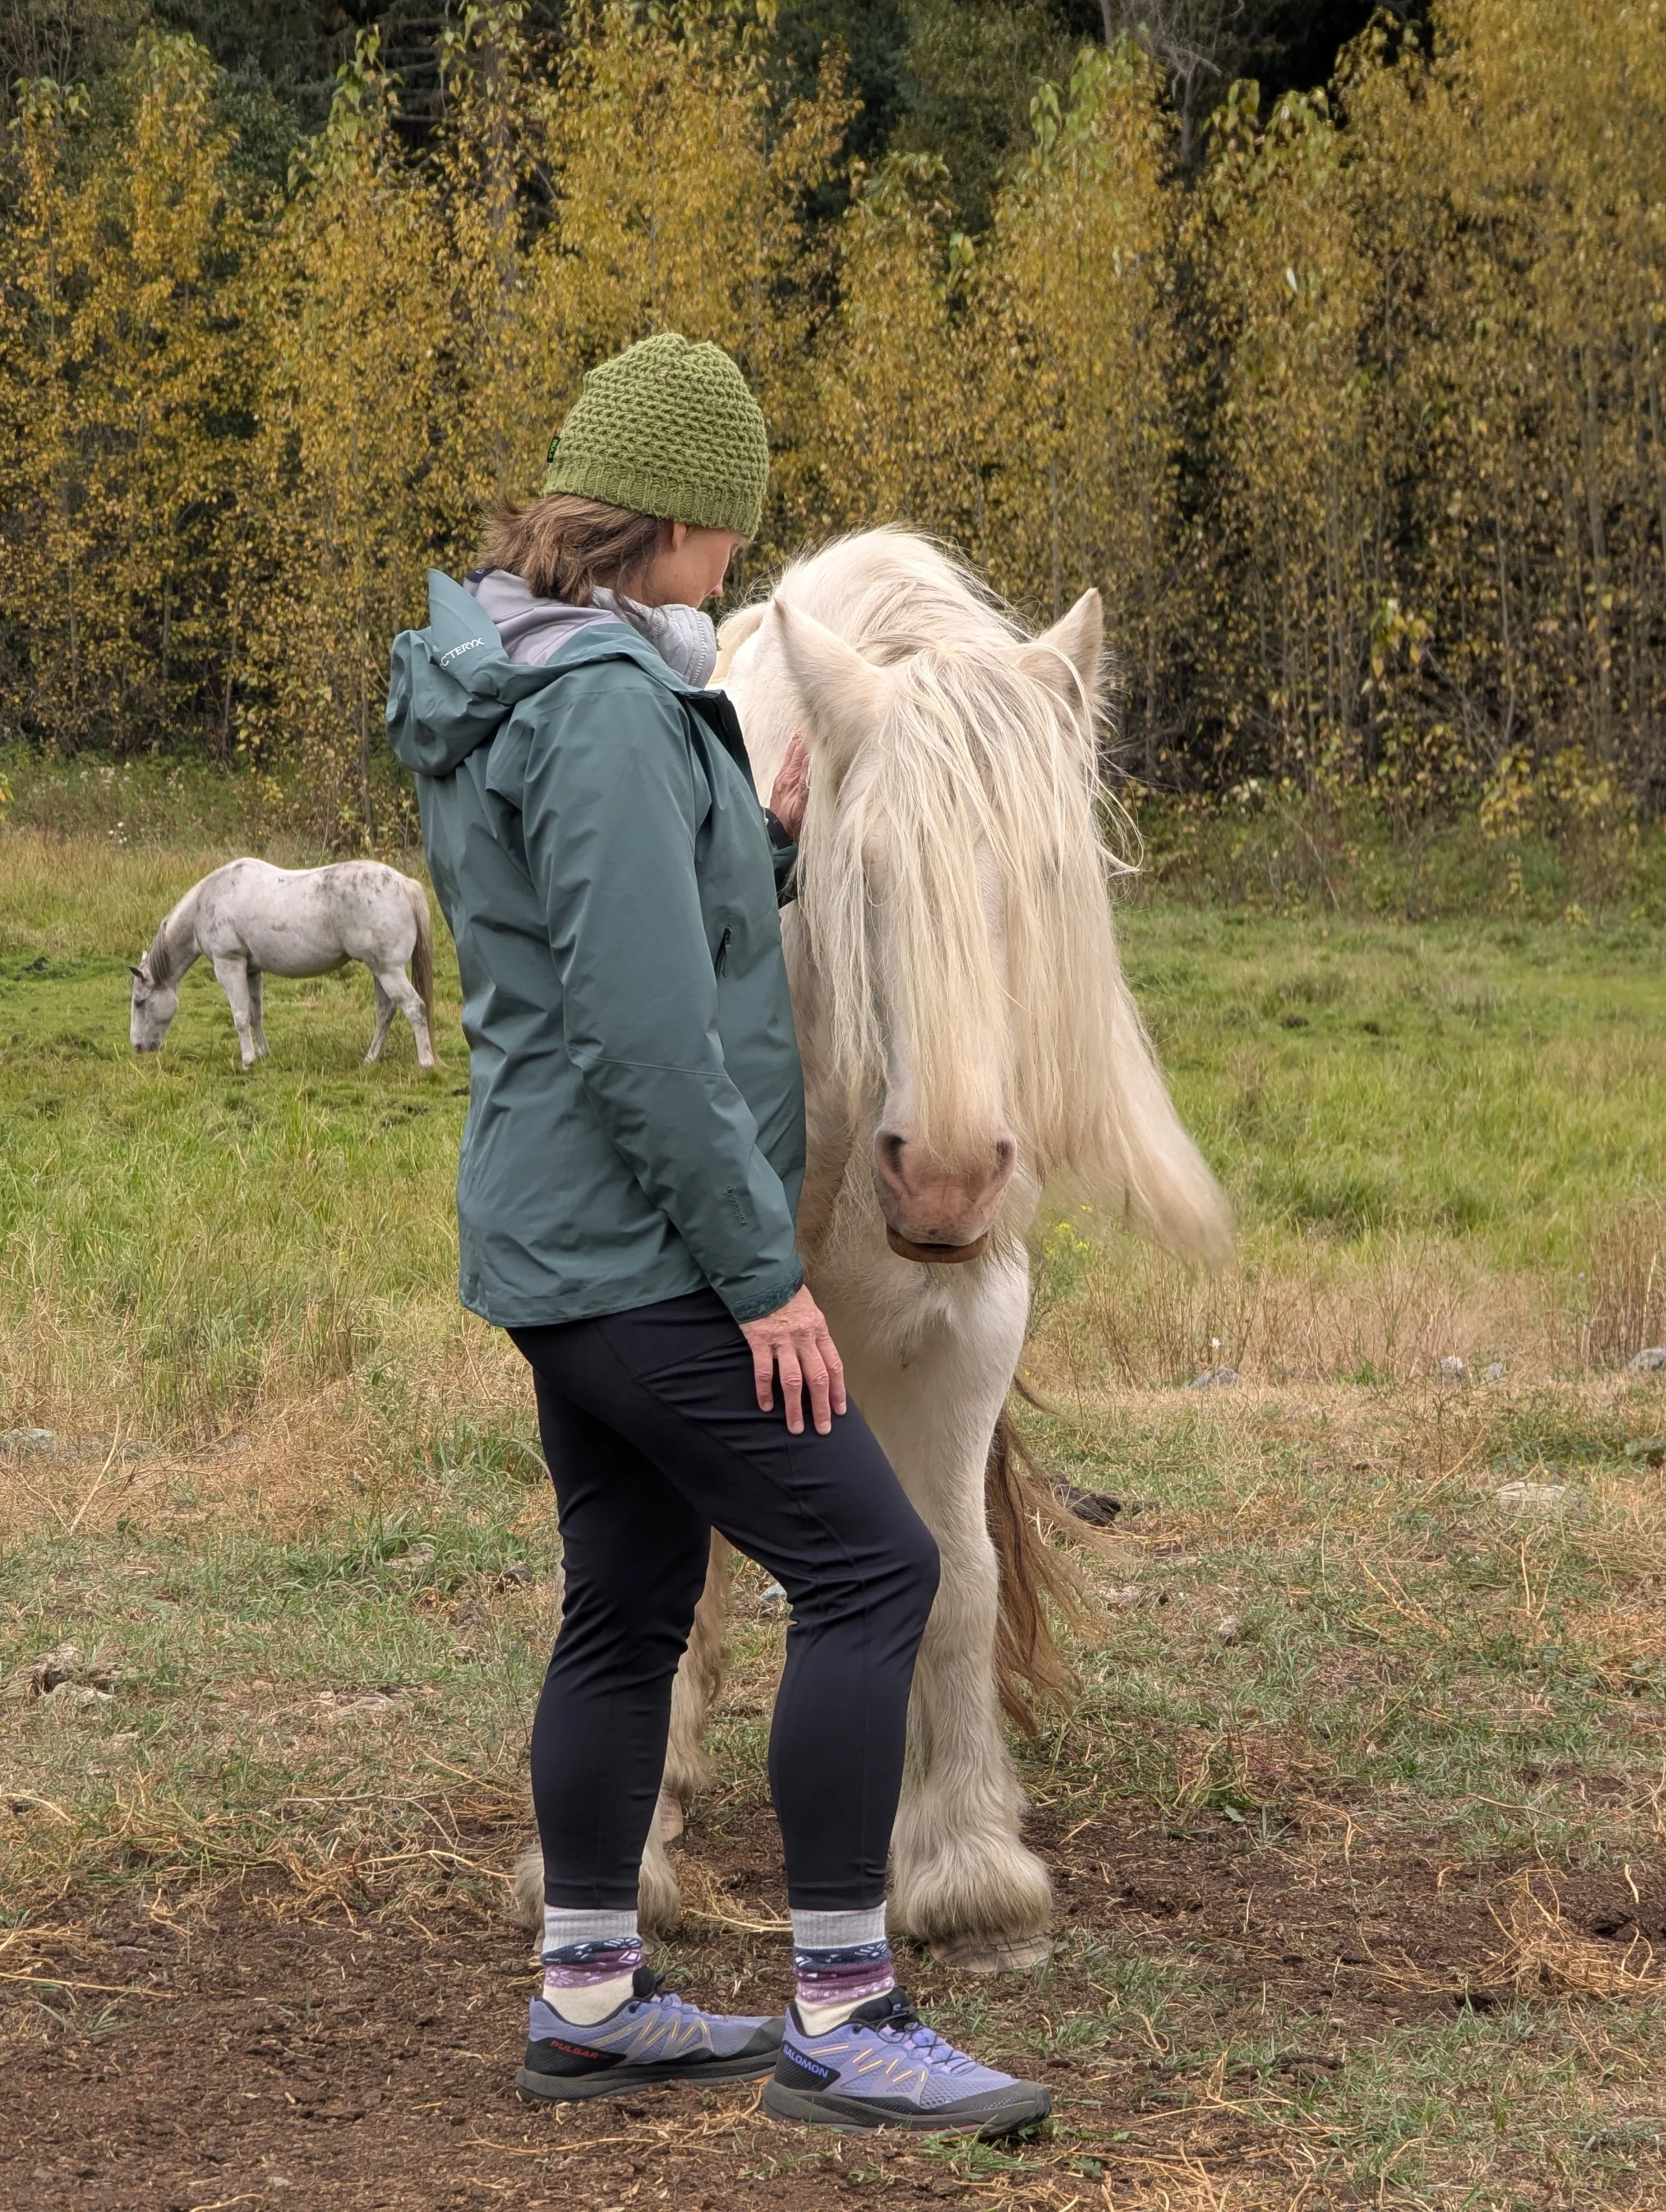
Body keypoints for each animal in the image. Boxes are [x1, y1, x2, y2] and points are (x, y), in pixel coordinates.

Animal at [129, 858, 436, 1071]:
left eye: (139, 1002)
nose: (138, 1047)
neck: (206, 903)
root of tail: (405, 884)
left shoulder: (229, 965)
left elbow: (240, 1016)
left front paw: (248, 1060)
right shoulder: (252, 971)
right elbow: (255, 1015)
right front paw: (264, 1054)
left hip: (389, 971)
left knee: (415, 1008)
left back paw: (426, 1063)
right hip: (380, 971)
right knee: (386, 1013)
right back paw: (371, 1059)